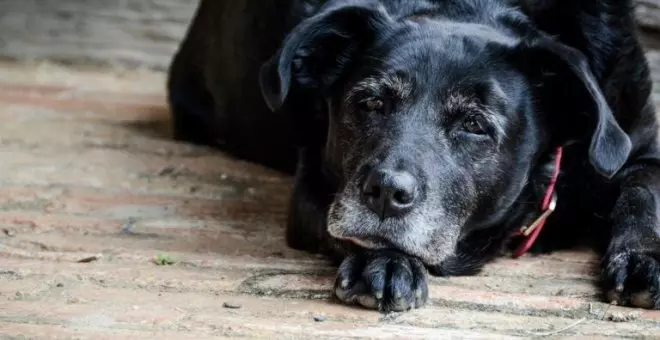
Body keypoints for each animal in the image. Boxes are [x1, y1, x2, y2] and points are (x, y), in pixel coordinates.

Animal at [169, 0, 660, 312]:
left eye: (475, 125)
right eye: (370, 102)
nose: (386, 192)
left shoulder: (640, 149)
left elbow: (643, 193)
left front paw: (644, 259)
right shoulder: (317, 185)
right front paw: (385, 261)